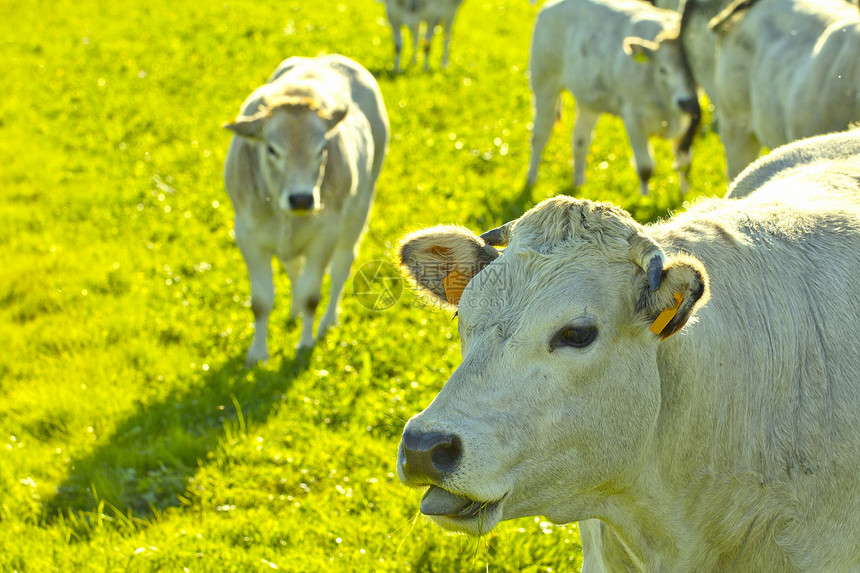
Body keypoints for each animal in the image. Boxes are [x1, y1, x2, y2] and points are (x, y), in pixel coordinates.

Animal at [528, 0, 704, 194]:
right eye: (663, 70)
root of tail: (550, 6)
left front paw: (685, 194)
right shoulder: (634, 118)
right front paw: (644, 196)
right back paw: (531, 179)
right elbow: (645, 168)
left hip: (588, 101)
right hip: (544, 85)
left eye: (692, 72)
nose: (685, 102)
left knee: (580, 140)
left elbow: (684, 163)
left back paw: (579, 183)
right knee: (540, 135)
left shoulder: (685, 125)